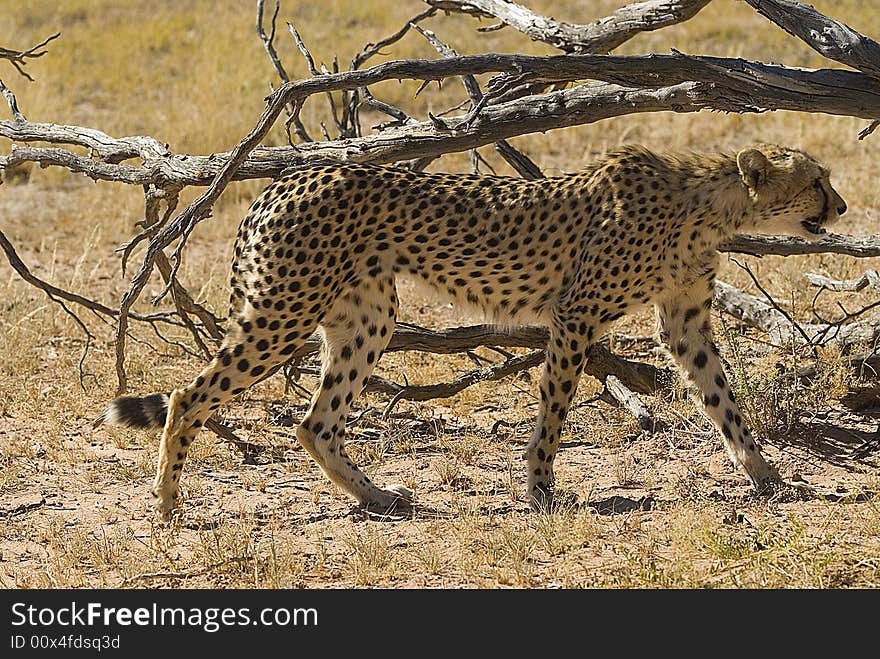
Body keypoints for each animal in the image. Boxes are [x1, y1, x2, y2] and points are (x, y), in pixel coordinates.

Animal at [94, 142, 844, 520]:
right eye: (815, 180)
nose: (840, 206)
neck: (703, 202)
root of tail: (286, 177)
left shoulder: (684, 320)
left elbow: (724, 400)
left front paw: (768, 475)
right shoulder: (574, 316)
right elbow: (553, 413)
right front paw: (539, 490)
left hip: (367, 319)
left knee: (314, 422)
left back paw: (378, 496)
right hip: (284, 311)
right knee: (189, 396)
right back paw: (168, 504)